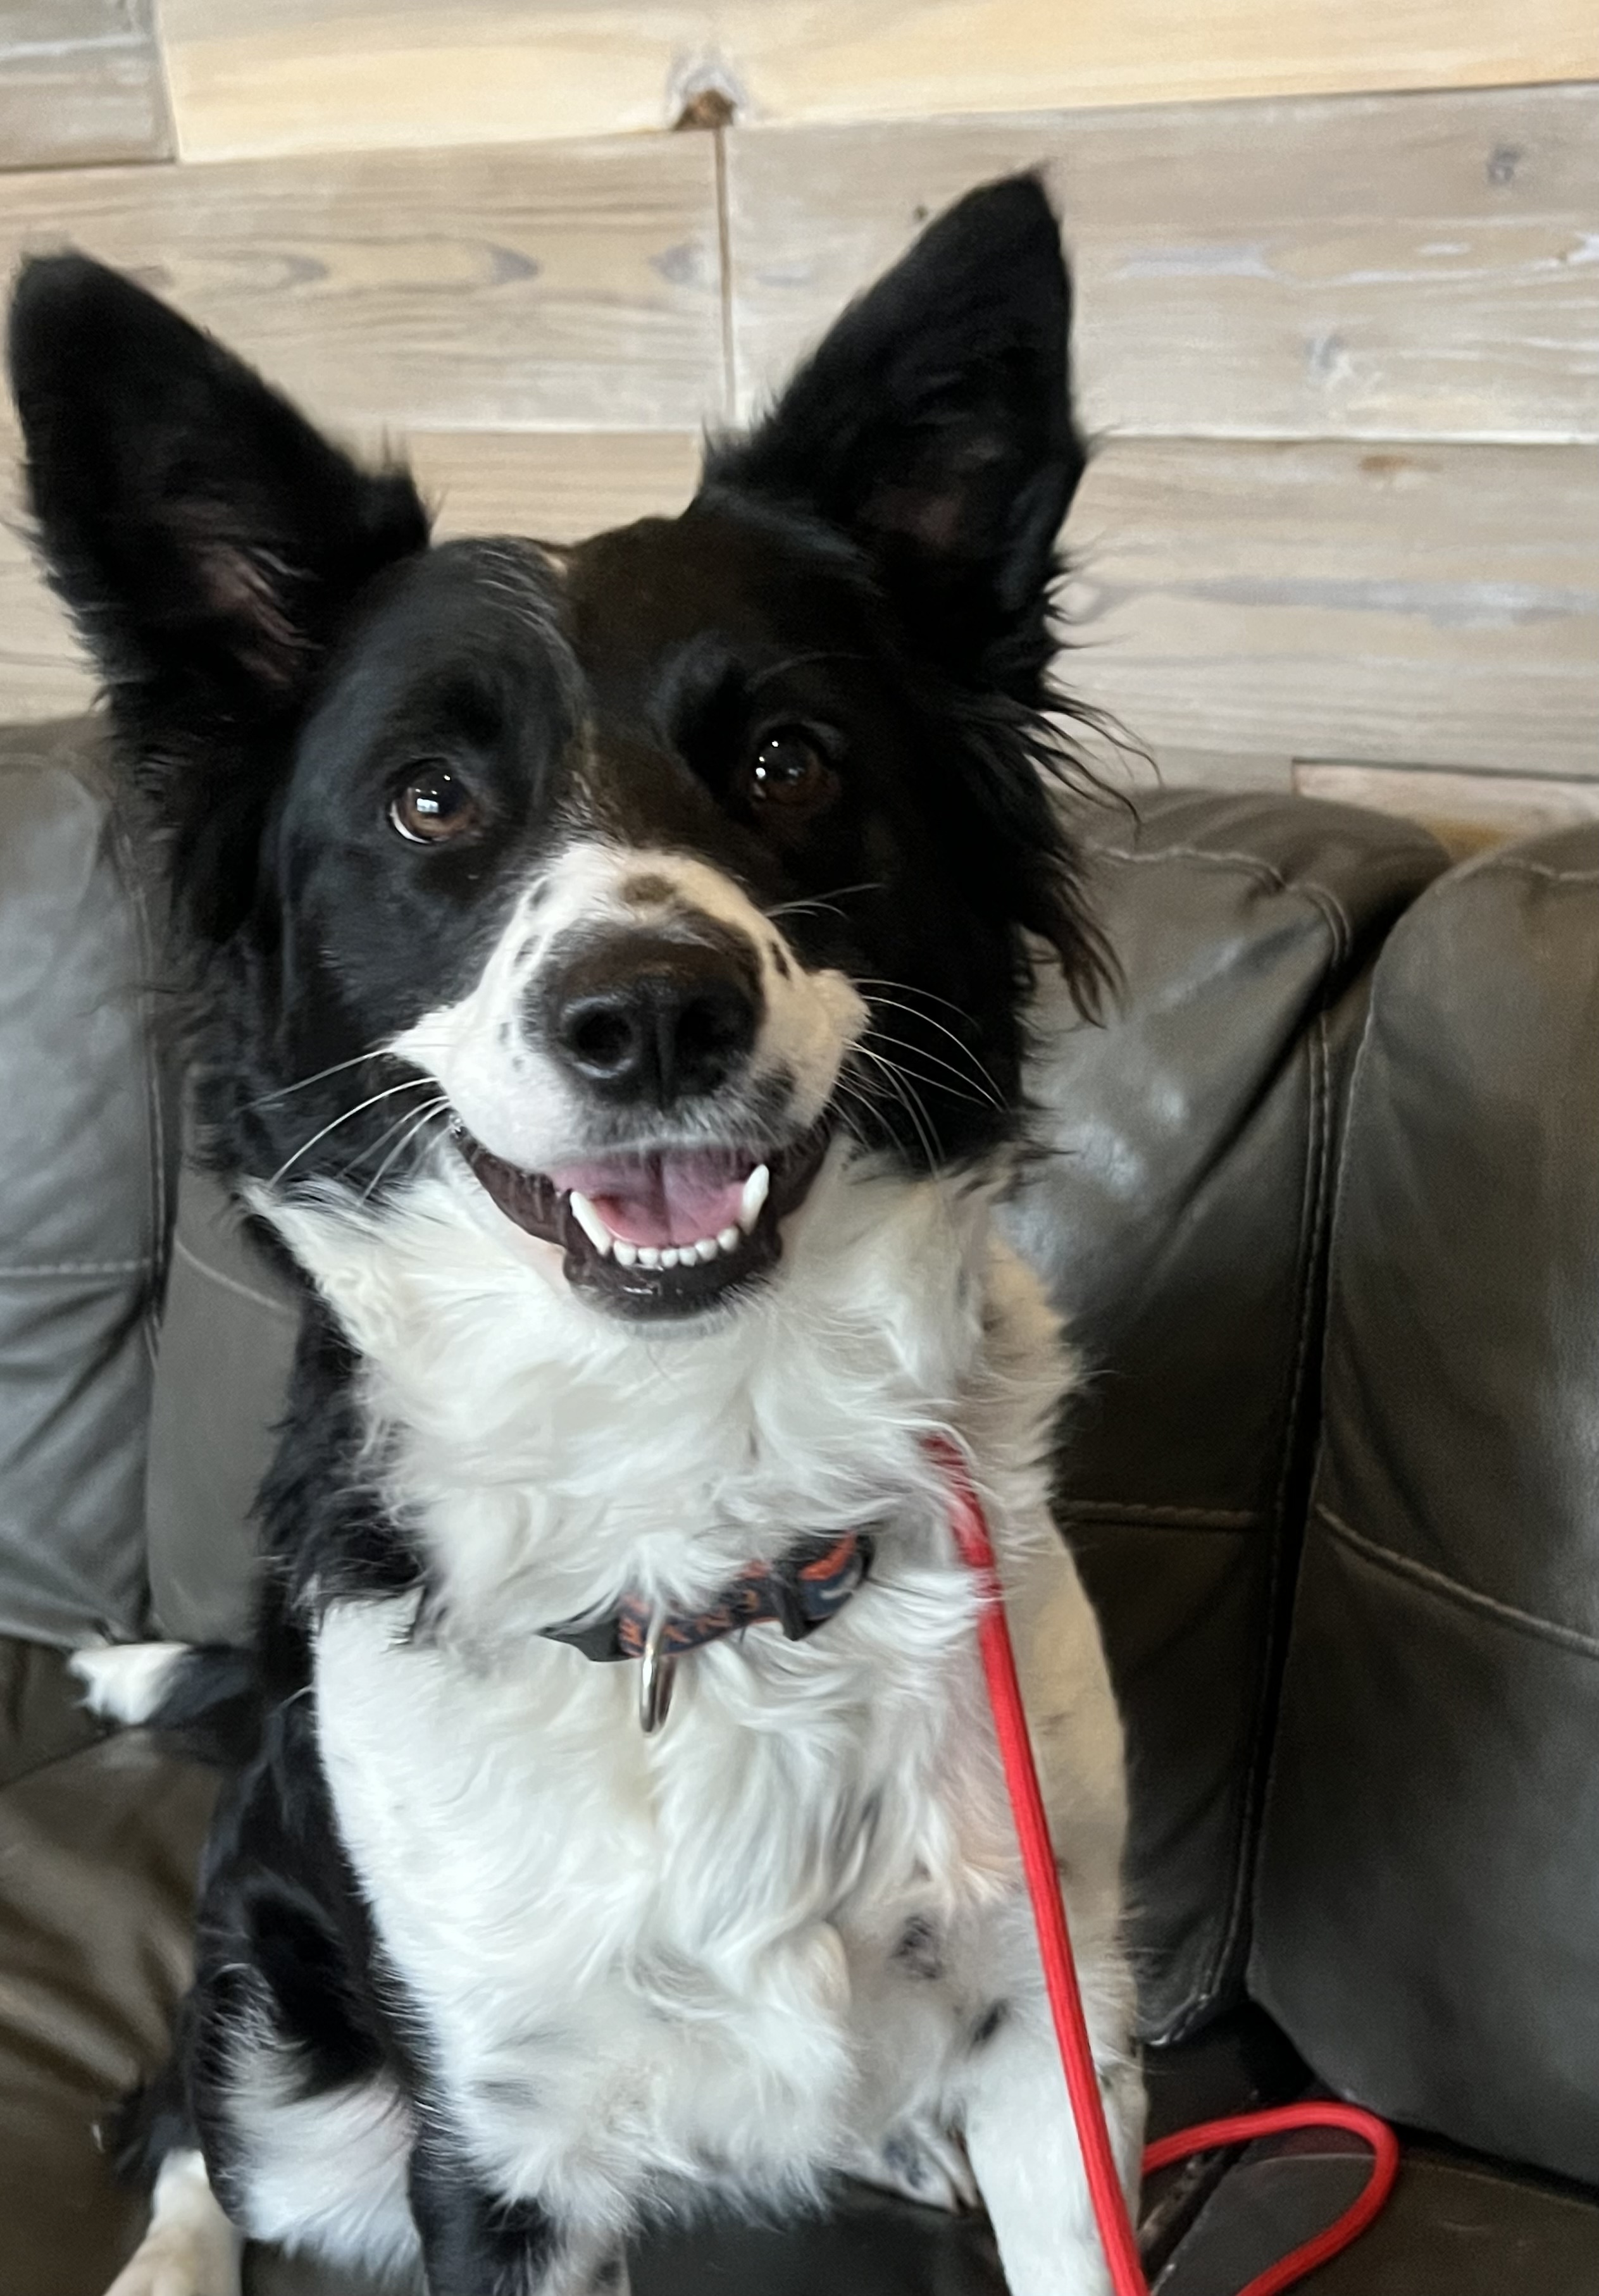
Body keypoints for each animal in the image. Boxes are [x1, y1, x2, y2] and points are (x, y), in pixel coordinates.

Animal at [9, 170, 1135, 2287]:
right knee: (187, 2117)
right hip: (291, 2039)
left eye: (787, 761)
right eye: (429, 803)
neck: (694, 1513)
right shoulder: (493, 2138)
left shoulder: (1051, 2019)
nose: (650, 1011)